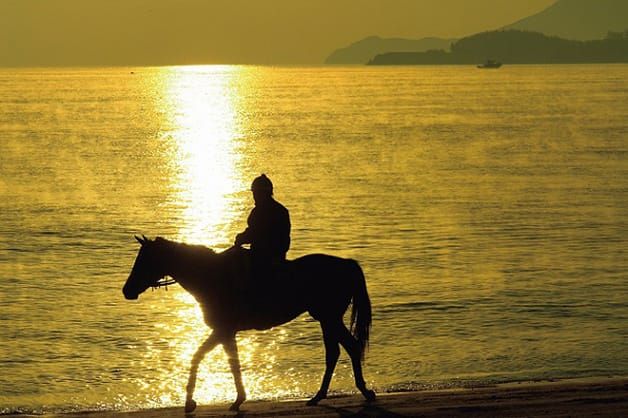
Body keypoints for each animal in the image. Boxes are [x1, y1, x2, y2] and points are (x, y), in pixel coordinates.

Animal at [123, 237, 378, 414]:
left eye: (144, 260)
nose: (127, 290)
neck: (210, 276)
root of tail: (346, 264)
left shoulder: (222, 330)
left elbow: (202, 358)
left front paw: (192, 402)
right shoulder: (225, 333)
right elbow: (229, 362)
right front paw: (235, 399)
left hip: (329, 318)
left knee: (346, 348)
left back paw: (360, 391)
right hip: (328, 319)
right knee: (340, 350)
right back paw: (323, 395)